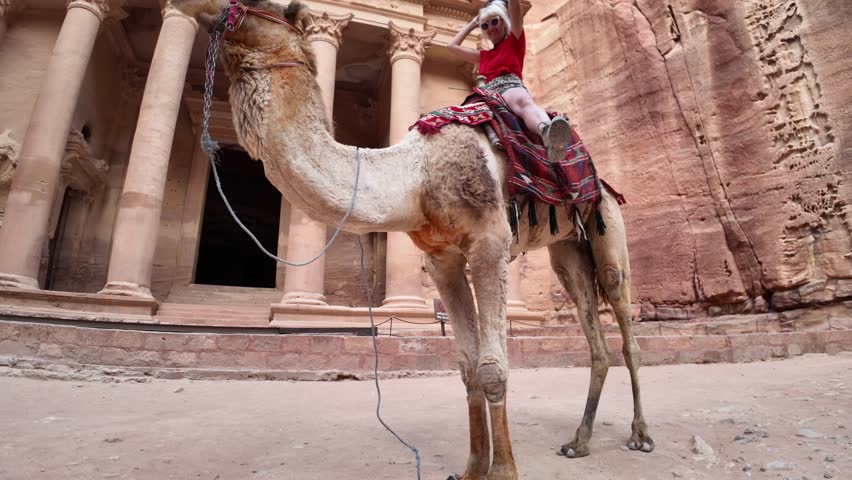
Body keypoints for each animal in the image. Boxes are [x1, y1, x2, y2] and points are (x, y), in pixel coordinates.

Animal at [170, 0, 654, 477]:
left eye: (256, 5)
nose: (197, 6)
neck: (415, 175)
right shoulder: (442, 258)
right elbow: (467, 366)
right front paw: (473, 468)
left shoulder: (489, 242)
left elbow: (493, 367)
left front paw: (503, 471)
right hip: (567, 250)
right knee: (594, 338)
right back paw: (579, 442)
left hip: (607, 224)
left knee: (626, 327)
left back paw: (640, 435)